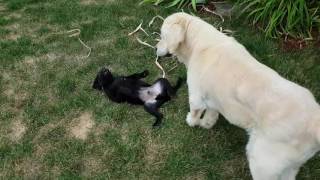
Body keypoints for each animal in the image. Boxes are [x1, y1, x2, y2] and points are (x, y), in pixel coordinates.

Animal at [156, 11, 320, 179]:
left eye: (162, 36)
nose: (155, 48)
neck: (199, 42)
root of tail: (314, 121)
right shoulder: (214, 98)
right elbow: (211, 113)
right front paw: (207, 123)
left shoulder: (196, 95)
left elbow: (195, 112)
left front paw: (191, 121)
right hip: (290, 167)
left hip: (262, 162)